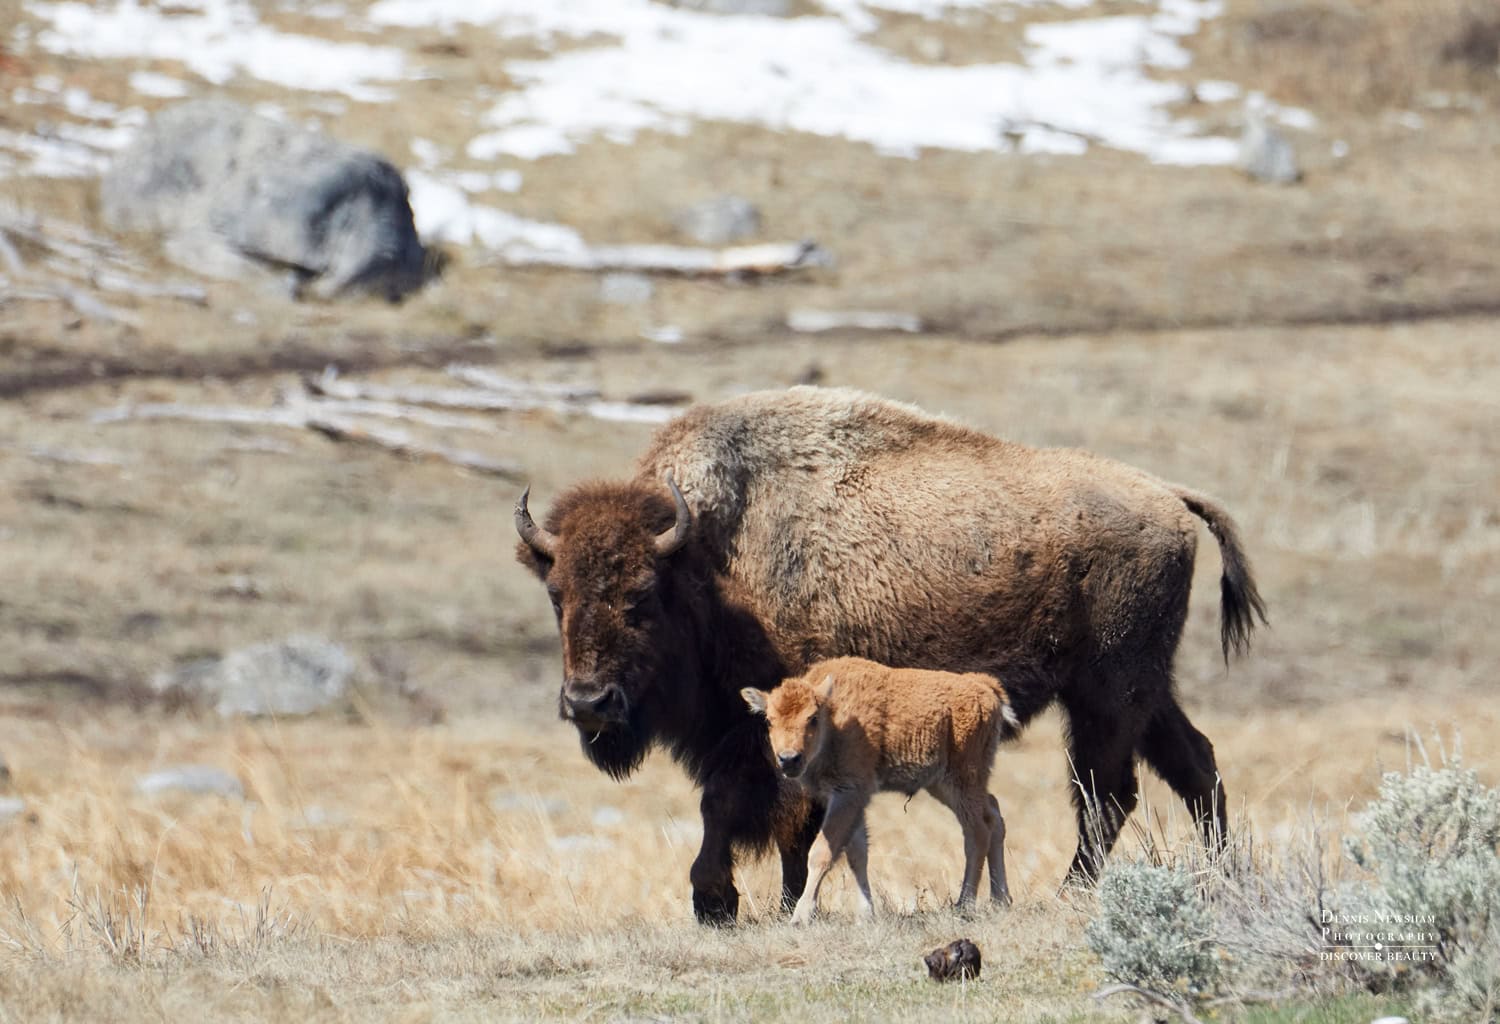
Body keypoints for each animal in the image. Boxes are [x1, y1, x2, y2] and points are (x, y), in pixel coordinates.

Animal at [742, 657, 1021, 924]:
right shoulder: (853, 798)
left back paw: (965, 904)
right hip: (944, 785)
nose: (789, 759)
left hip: (963, 780)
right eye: (769, 720)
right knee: (994, 815)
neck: (835, 718)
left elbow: (822, 851)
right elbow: (857, 853)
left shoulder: (847, 794)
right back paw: (1000, 900)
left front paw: (801, 916)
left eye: (812, 718)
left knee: (977, 832)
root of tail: (984, 686)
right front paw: (866, 913)